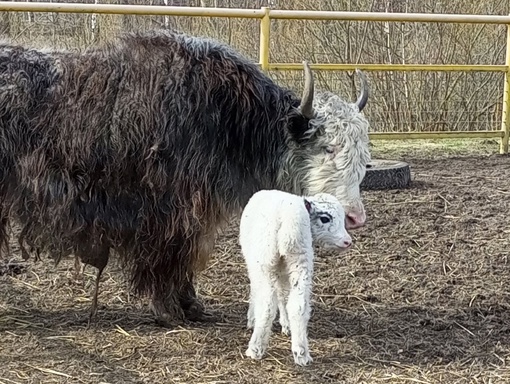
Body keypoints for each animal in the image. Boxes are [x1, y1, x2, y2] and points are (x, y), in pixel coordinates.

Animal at [238, 189, 350, 366]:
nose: (347, 241)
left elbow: (259, 291)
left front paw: (252, 318)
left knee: (267, 305)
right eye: (325, 218)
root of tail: (286, 219)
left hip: (265, 260)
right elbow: (284, 296)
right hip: (300, 257)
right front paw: (286, 325)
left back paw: (255, 348)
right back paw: (301, 352)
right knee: (298, 305)